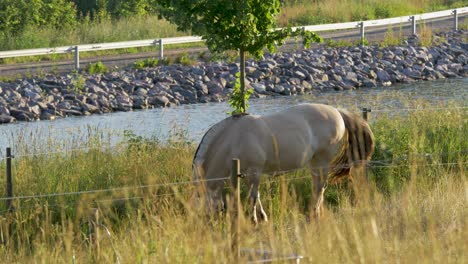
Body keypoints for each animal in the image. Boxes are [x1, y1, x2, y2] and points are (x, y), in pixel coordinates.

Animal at [192, 103, 374, 223]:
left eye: (204, 211)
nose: (207, 227)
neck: (234, 137)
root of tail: (336, 111)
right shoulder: (245, 175)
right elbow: (256, 195)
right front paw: (263, 217)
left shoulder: (254, 171)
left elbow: (252, 197)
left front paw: (254, 220)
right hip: (314, 162)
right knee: (317, 186)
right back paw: (316, 212)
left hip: (323, 159)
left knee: (320, 186)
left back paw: (314, 213)